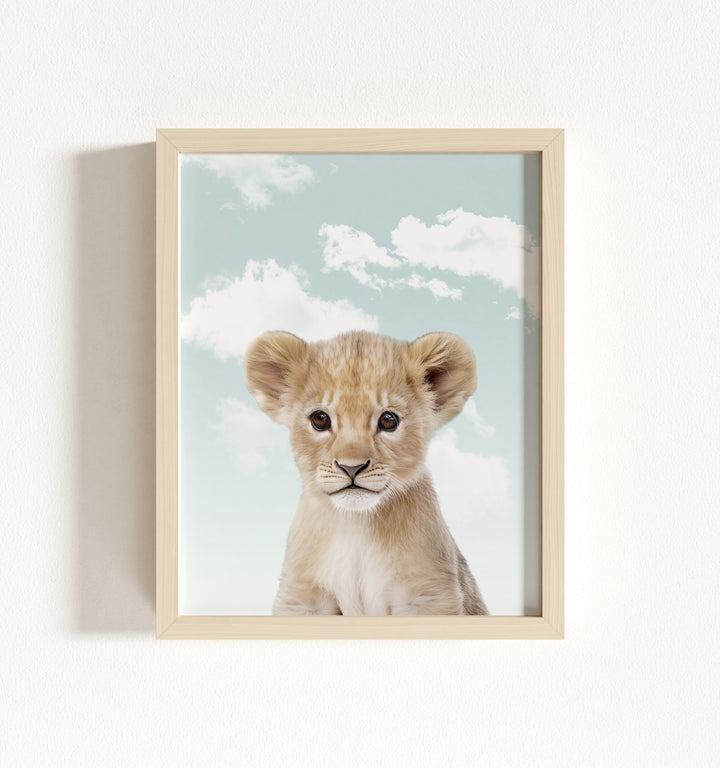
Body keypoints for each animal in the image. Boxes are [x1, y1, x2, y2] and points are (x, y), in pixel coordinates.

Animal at [244, 329, 488, 616]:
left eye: (388, 420)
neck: (357, 526)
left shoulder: (430, 594)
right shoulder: (302, 597)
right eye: (320, 419)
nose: (351, 467)